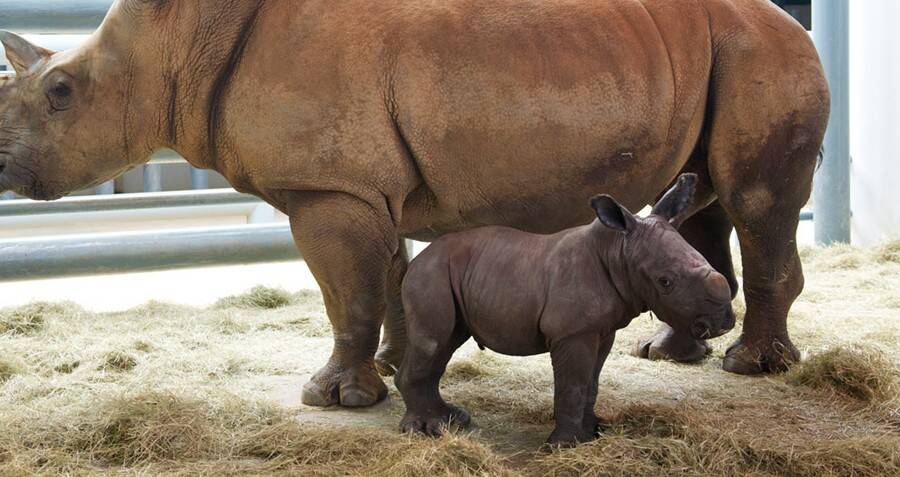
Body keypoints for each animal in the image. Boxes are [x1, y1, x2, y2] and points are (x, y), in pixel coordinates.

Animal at [1, 0, 828, 406]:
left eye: (61, 92)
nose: (3, 162)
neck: (172, 45)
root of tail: (791, 19)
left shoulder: (328, 186)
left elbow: (348, 294)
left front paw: (333, 399)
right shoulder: (365, 183)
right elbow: (389, 281)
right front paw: (398, 370)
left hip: (765, 52)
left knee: (756, 205)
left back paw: (751, 368)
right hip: (717, 54)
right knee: (698, 201)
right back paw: (672, 353)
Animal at [398, 175, 736, 446]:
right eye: (665, 282)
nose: (724, 322)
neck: (617, 251)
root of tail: (417, 260)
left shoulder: (602, 330)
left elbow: (591, 383)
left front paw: (593, 433)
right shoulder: (572, 333)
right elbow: (572, 384)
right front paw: (564, 445)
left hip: (448, 274)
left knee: (445, 343)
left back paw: (451, 421)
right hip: (431, 275)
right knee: (433, 341)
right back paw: (424, 431)